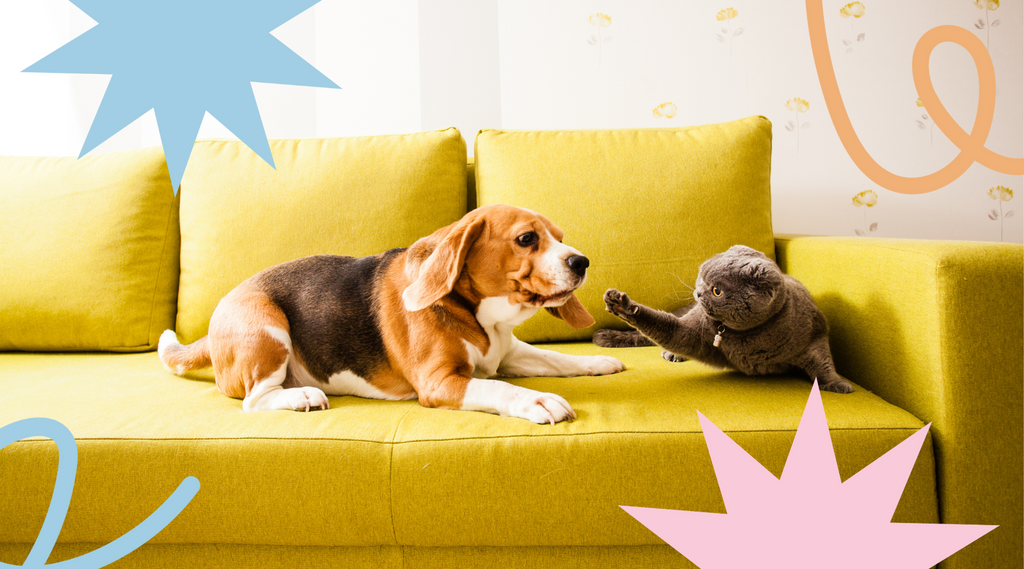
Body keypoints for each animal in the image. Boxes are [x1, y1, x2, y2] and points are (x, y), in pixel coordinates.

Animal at [157, 203, 622, 421]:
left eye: (559, 236)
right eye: (527, 239)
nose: (582, 262)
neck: (478, 317)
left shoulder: (507, 353)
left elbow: (554, 357)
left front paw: (596, 361)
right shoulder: (440, 382)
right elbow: (499, 388)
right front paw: (538, 400)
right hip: (265, 326)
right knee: (254, 400)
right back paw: (301, 395)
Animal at [598, 244, 851, 395]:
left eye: (717, 291)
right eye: (701, 275)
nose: (698, 293)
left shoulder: (815, 332)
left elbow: (823, 360)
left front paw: (837, 383)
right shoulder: (695, 327)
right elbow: (662, 324)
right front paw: (622, 305)